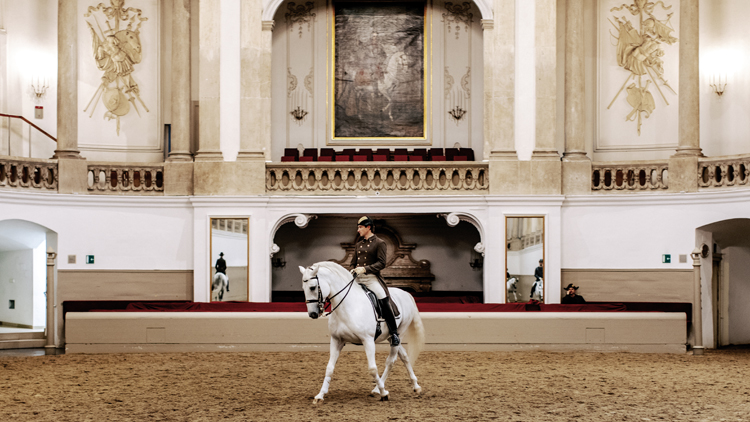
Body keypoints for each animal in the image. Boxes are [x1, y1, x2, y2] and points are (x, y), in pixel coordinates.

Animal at [302, 262, 428, 404]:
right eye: (303, 288)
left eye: (312, 287)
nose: (312, 314)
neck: (348, 306)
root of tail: (406, 293)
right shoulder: (336, 340)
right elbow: (329, 368)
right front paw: (320, 395)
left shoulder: (367, 340)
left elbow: (372, 369)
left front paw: (384, 394)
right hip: (390, 337)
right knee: (404, 356)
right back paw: (414, 386)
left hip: (397, 334)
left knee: (391, 360)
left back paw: (381, 389)